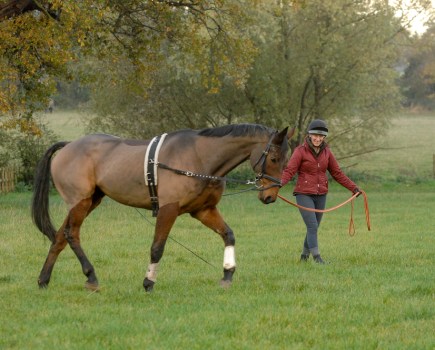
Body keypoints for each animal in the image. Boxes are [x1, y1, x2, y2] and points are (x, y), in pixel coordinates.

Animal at [32, 123, 294, 292]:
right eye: (273, 158)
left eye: (286, 160)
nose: (270, 196)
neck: (200, 157)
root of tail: (69, 146)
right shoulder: (168, 209)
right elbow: (157, 248)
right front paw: (148, 282)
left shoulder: (204, 210)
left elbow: (228, 235)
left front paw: (228, 272)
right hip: (81, 202)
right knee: (71, 234)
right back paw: (91, 276)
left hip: (89, 201)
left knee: (59, 237)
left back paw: (44, 279)